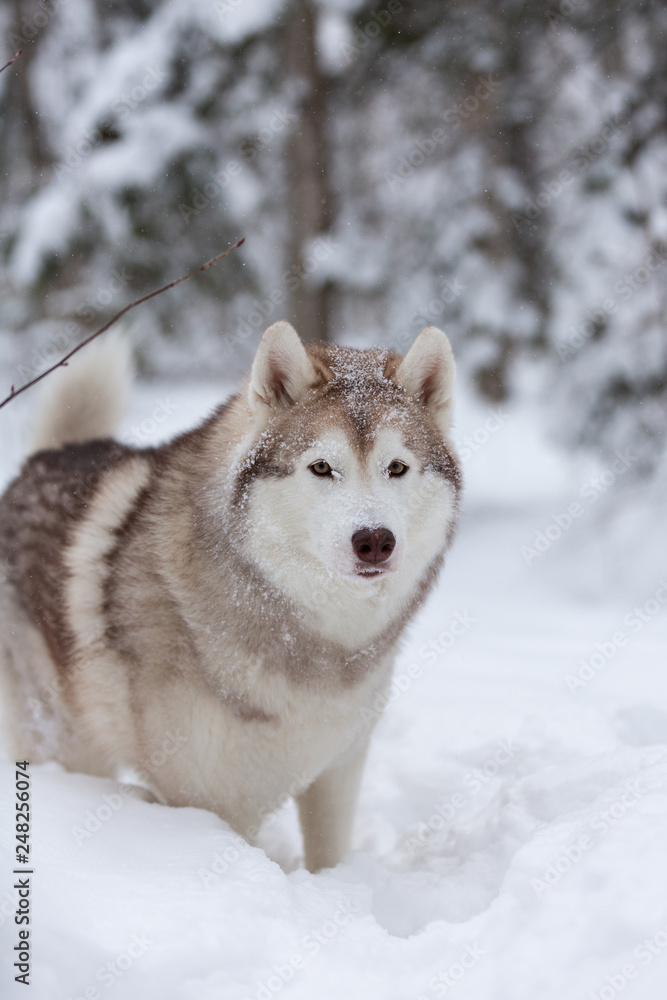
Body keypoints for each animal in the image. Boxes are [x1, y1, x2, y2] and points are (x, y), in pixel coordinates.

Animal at [0, 324, 460, 872]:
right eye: (321, 467)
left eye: (397, 467)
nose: (374, 540)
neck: (313, 640)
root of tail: (44, 459)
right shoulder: (209, 802)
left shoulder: (338, 770)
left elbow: (328, 857)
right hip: (68, 744)